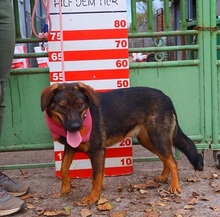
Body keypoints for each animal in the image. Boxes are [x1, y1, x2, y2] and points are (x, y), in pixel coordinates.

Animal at [40, 82, 204, 204]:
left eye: (80, 104)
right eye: (62, 107)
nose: (76, 127)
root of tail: (166, 97)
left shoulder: (97, 152)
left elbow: (95, 178)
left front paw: (93, 197)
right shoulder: (70, 147)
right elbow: (63, 168)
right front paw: (65, 189)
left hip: (157, 137)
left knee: (173, 161)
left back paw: (174, 186)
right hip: (149, 140)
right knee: (166, 159)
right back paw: (164, 177)